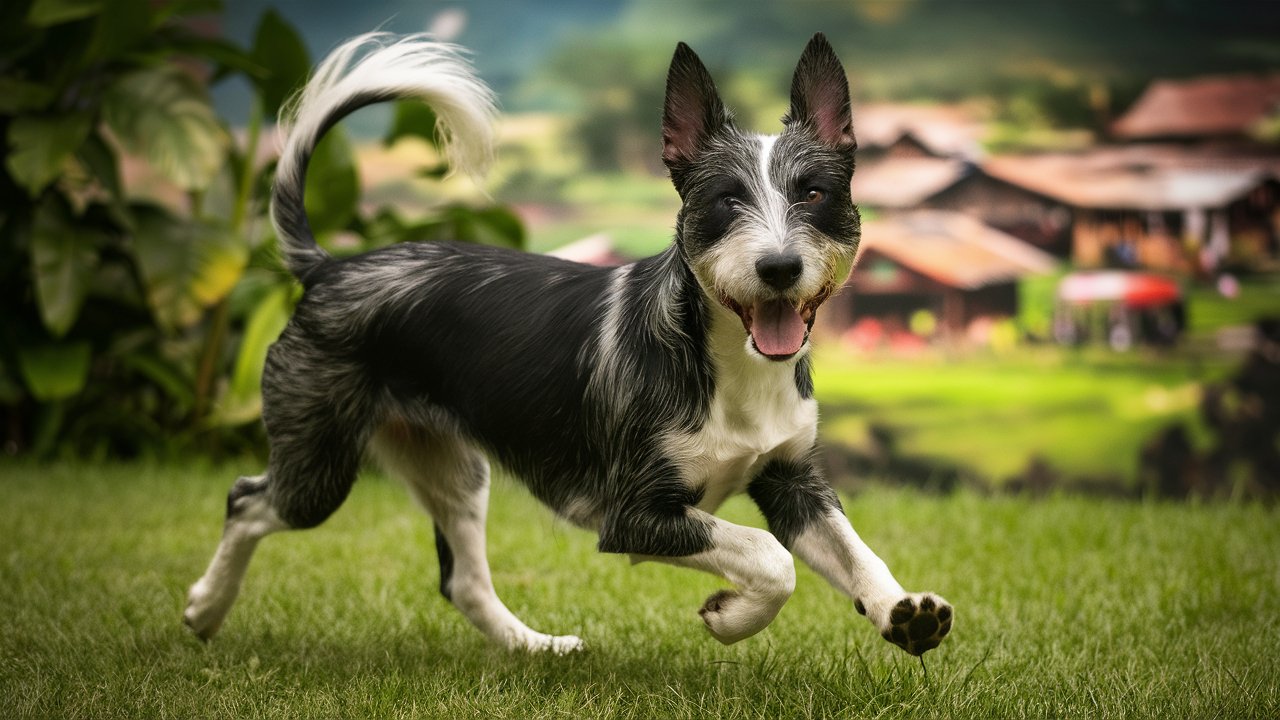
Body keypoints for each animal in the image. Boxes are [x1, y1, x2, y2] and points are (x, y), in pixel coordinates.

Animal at [185, 30, 957, 653]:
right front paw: (729, 616)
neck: (725, 363)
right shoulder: (633, 514)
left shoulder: (793, 480)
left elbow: (854, 552)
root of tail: (329, 267)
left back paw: (535, 648)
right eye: (725, 201)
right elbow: (771, 559)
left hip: (452, 468)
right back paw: (203, 609)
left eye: (816, 194)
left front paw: (902, 611)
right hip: (318, 459)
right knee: (244, 500)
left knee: (462, 581)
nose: (779, 268)